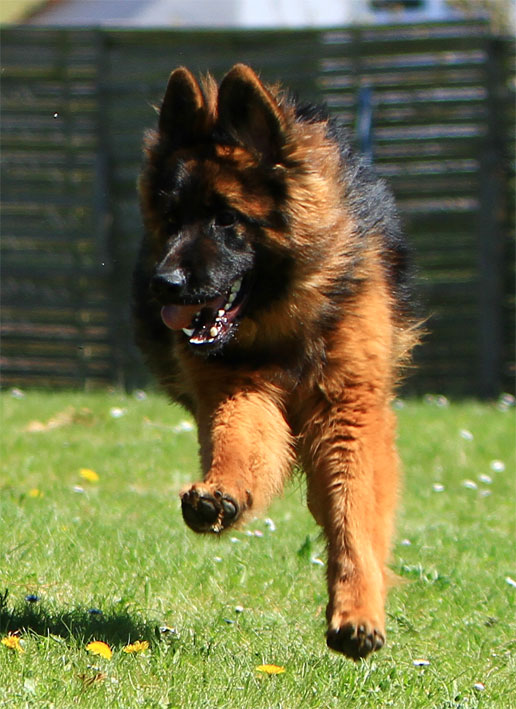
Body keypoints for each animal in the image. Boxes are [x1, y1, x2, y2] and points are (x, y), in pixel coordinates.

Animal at [133, 64, 417, 660]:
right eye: (172, 217)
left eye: (225, 219)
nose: (163, 284)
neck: (284, 317)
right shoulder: (238, 387)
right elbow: (241, 443)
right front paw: (220, 494)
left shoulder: (348, 410)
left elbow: (354, 512)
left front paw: (358, 612)